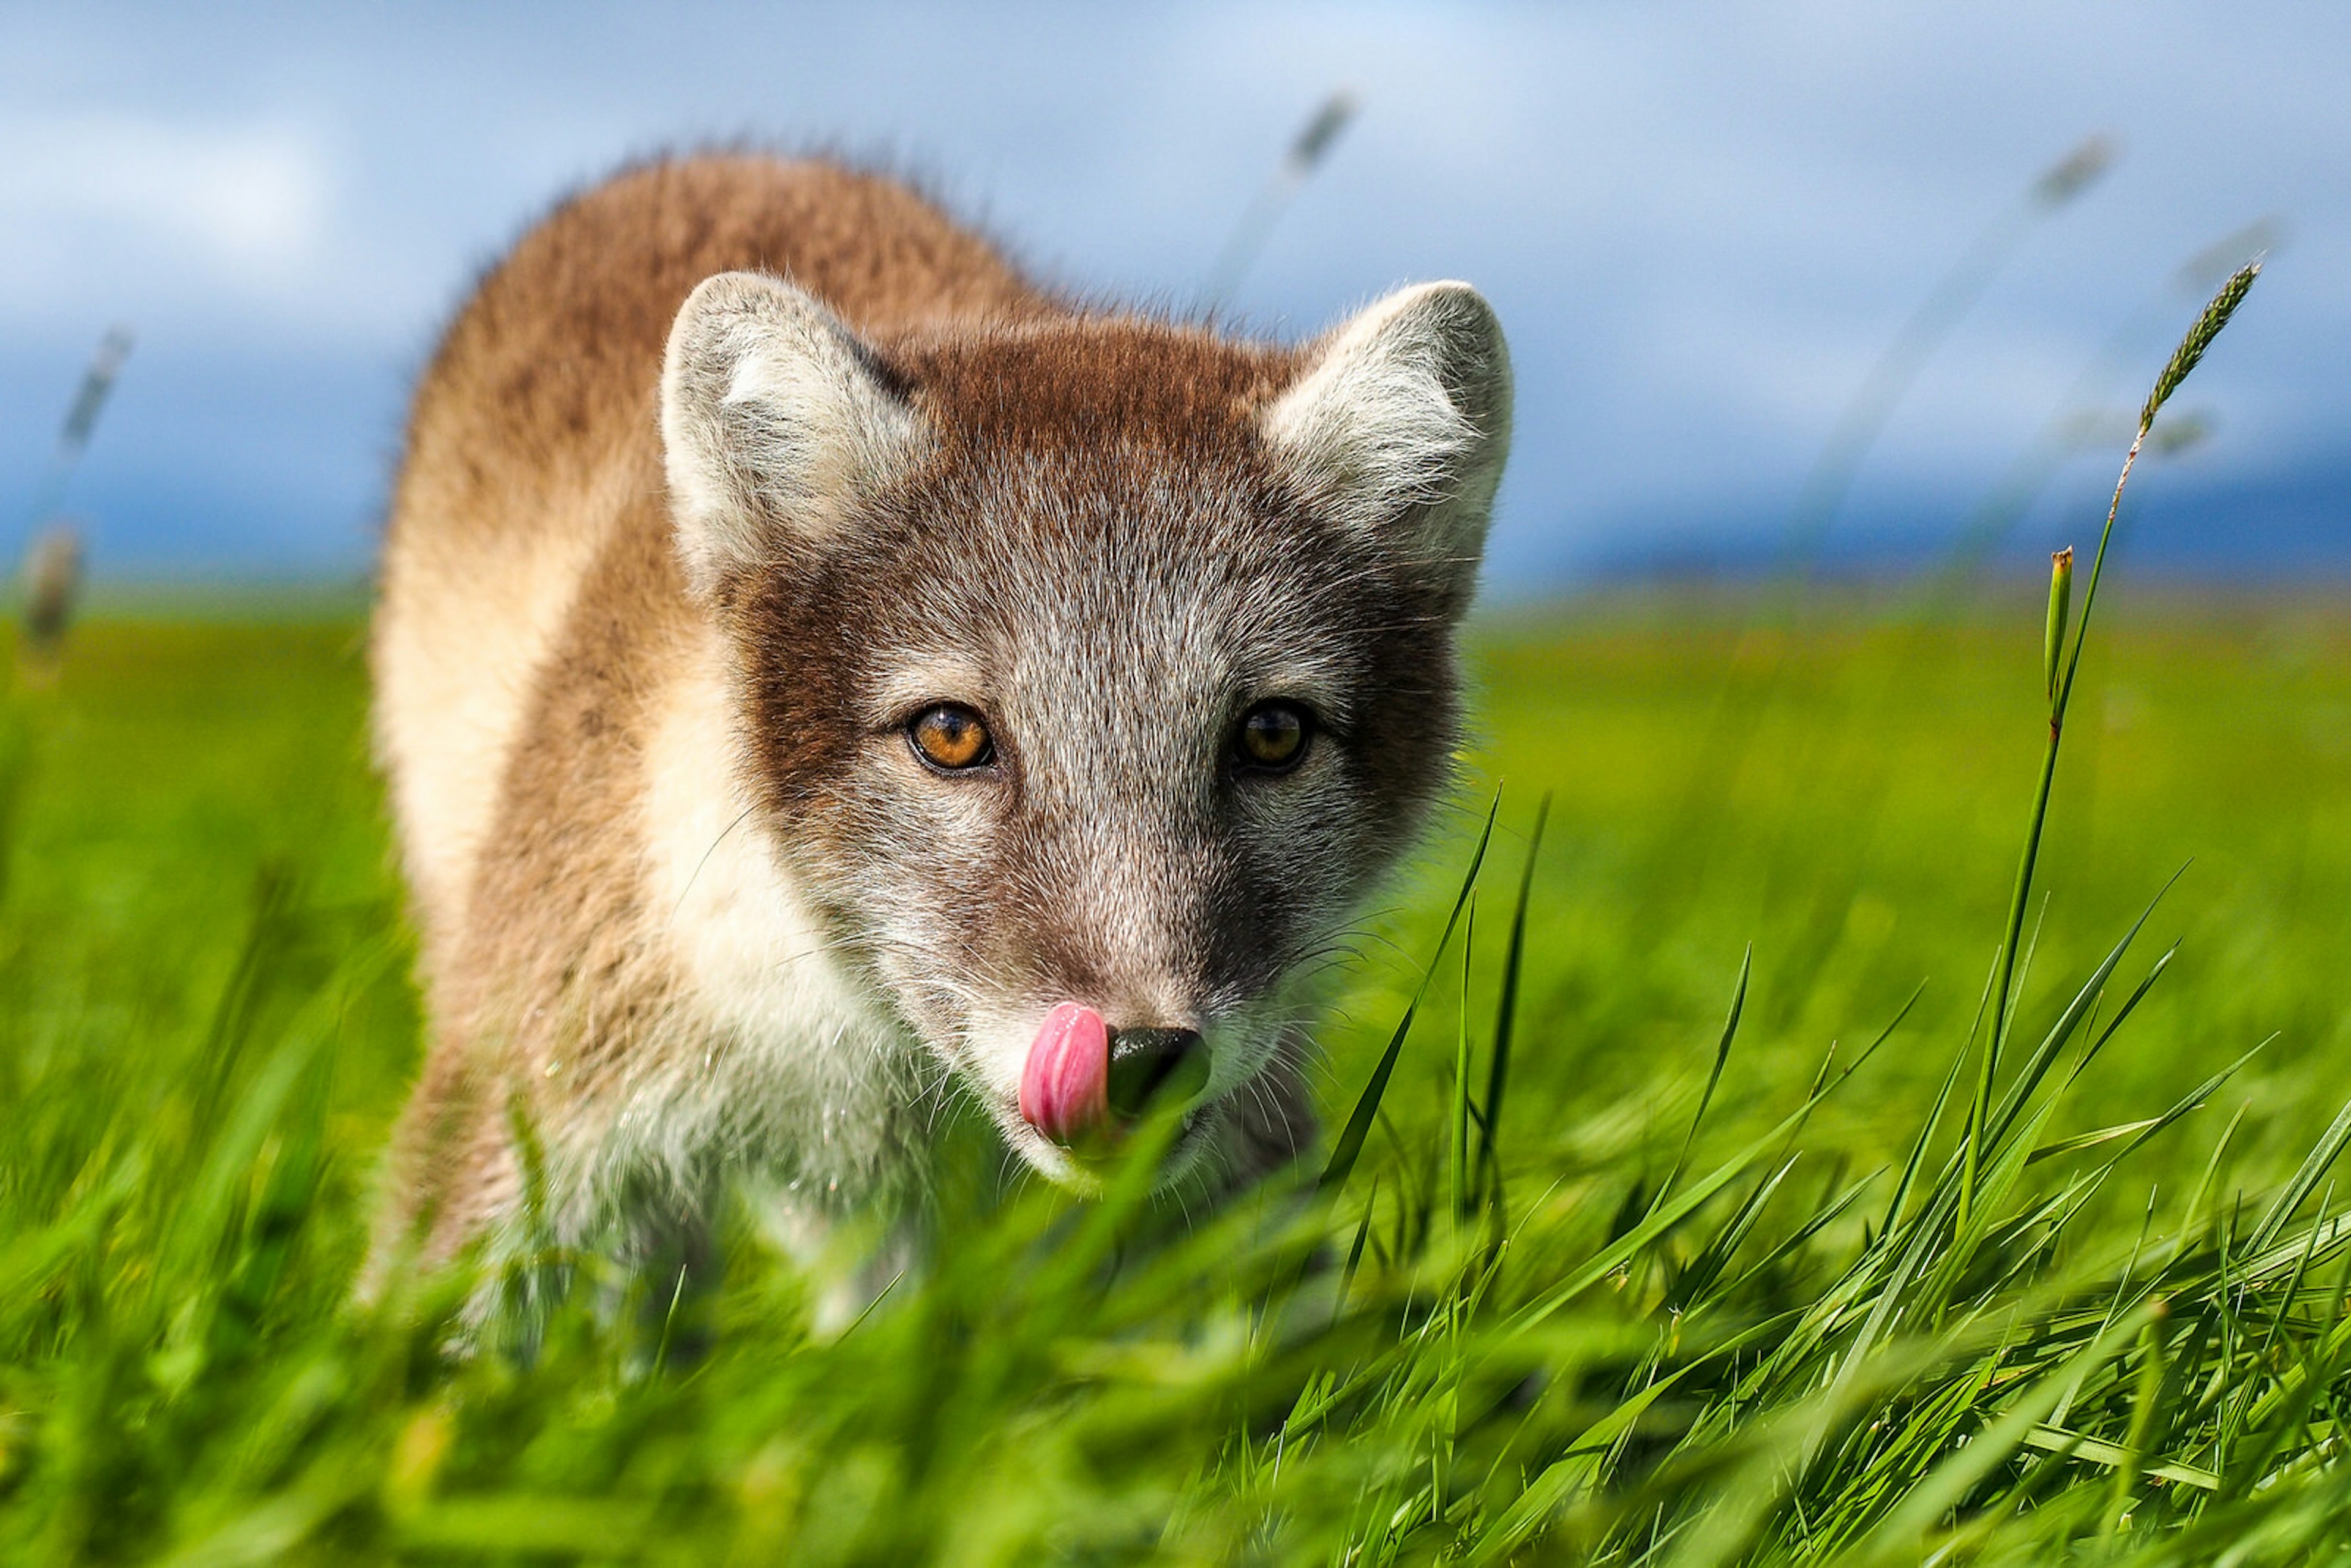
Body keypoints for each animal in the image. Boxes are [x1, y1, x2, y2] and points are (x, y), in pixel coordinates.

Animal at [362, 156, 1504, 1297]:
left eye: (1272, 736)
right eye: (950, 735)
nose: (1142, 1057)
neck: (874, 1063)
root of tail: (727, 157)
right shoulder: (532, 1090)